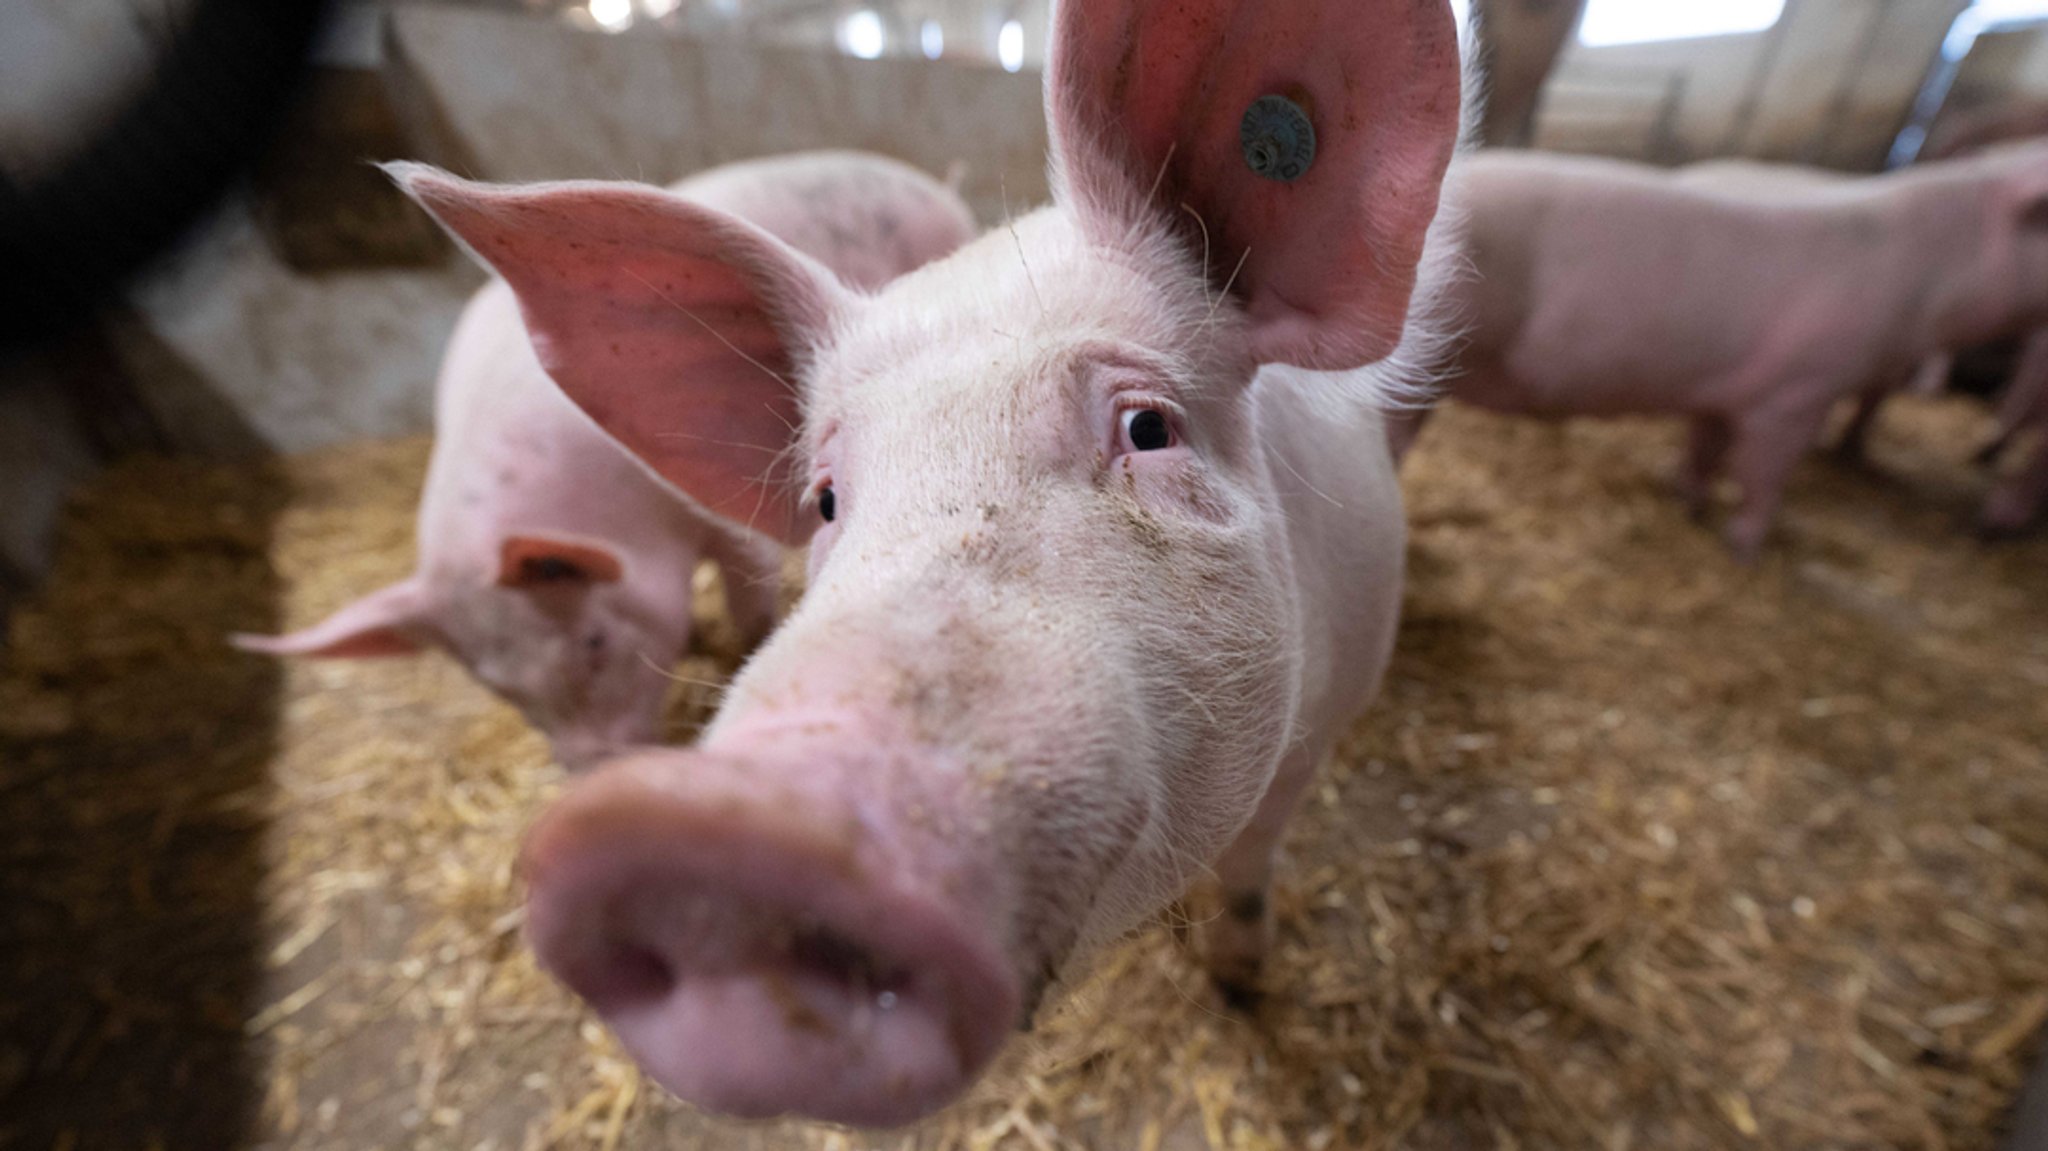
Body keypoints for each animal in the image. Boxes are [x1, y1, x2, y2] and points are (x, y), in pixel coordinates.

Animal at [237, 150, 974, 761]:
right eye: (501, 689)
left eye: (593, 644)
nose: (592, 772)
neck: (622, 515)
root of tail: (922, 181)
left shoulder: (724, 519)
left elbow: (751, 594)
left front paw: (741, 644)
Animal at [387, 0, 1474, 1122]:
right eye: (826, 499)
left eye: (1148, 426)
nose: (721, 822)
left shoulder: (1326, 713)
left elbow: (1255, 866)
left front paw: (1240, 983)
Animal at [1392, 142, 2048, 557]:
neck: (1930, 281)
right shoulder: (1798, 391)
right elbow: (1764, 473)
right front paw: (1747, 549)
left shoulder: (1724, 392)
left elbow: (1706, 447)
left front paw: (1689, 503)